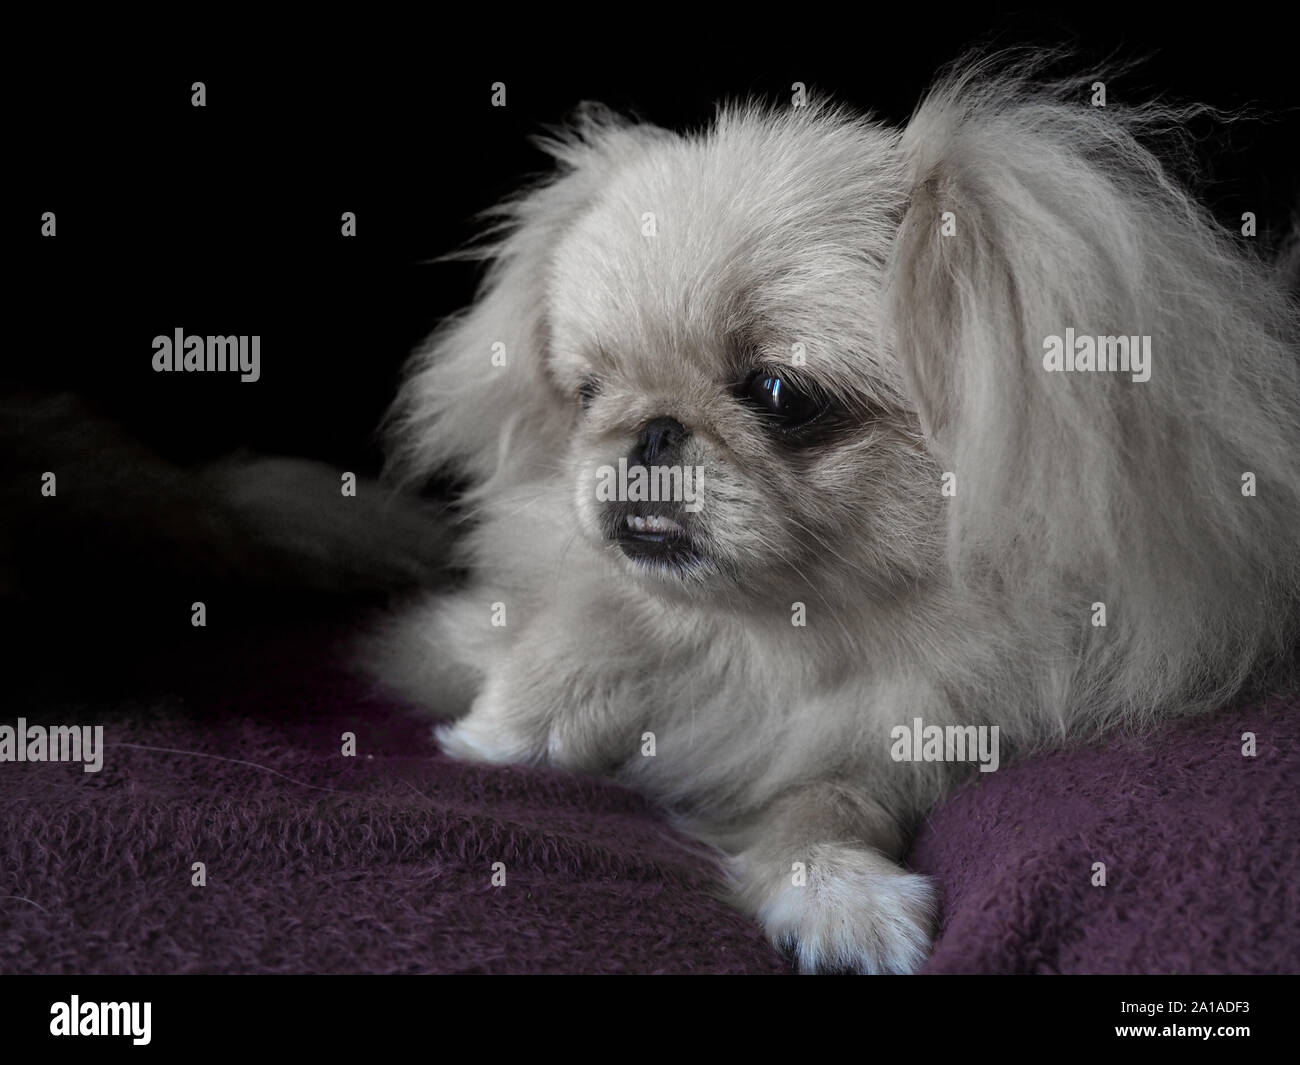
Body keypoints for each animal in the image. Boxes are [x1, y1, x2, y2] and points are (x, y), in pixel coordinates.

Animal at [361, 54, 1300, 977]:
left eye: (782, 394)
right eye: (587, 393)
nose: (652, 427)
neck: (779, 647)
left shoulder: (903, 740)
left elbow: (821, 805)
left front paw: (839, 895)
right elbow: (579, 627)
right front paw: (509, 728)